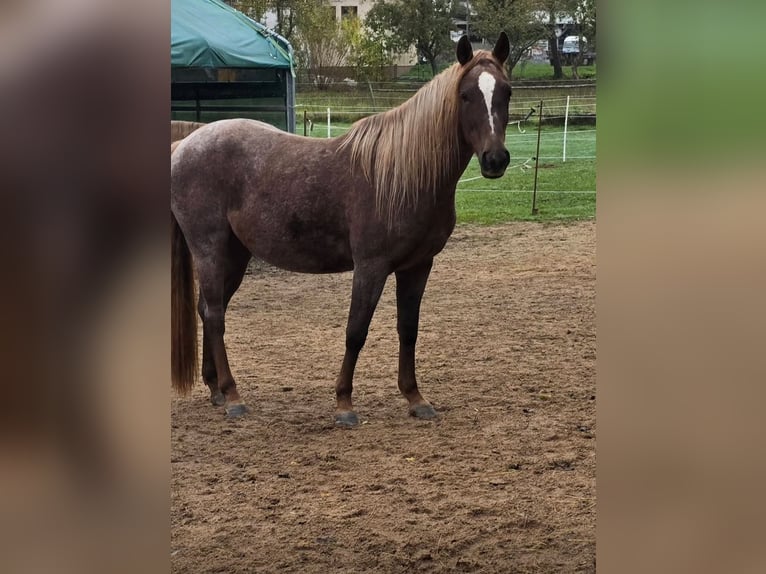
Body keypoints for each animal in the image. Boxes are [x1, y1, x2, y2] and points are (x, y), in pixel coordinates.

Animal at [171, 33, 512, 425]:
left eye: (506, 92)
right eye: (466, 95)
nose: (495, 160)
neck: (403, 175)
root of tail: (185, 145)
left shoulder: (417, 266)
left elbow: (408, 330)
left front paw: (415, 398)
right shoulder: (371, 266)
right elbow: (356, 331)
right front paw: (344, 403)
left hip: (236, 254)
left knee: (209, 309)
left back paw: (215, 390)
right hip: (209, 248)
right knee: (214, 314)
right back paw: (233, 396)